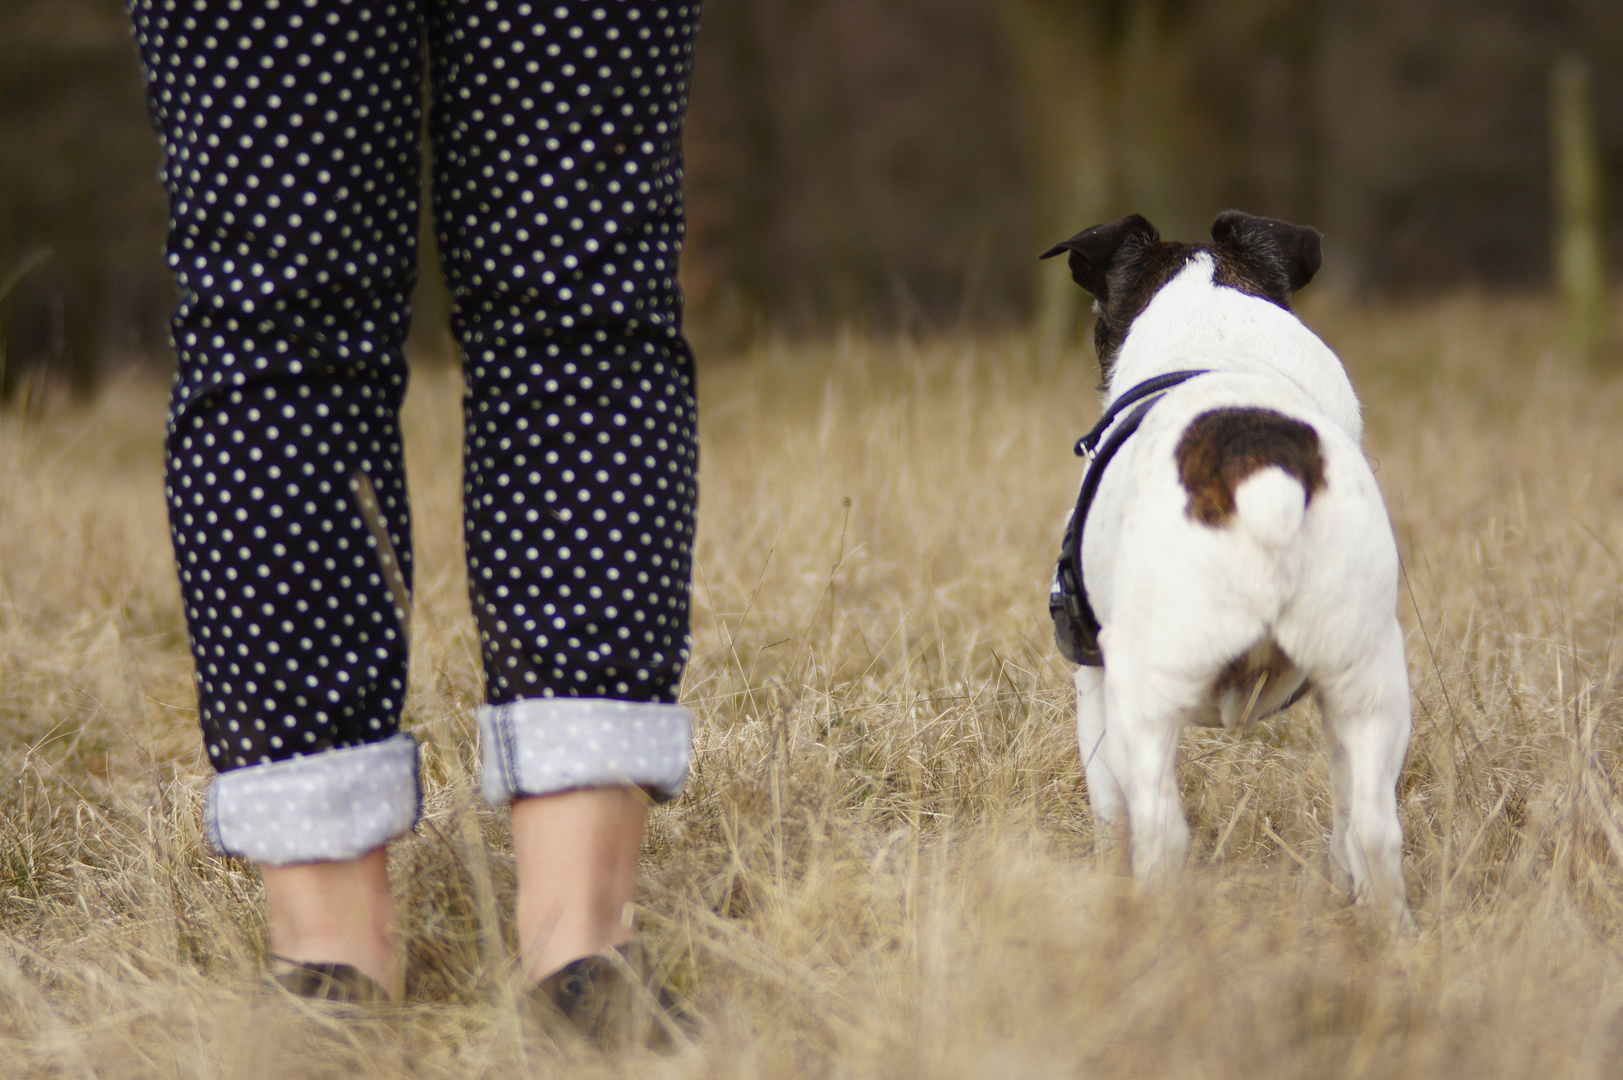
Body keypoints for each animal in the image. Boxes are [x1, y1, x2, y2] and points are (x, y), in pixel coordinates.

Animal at [1051, 211, 1408, 915]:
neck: (1215, 334)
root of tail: (1265, 480)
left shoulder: (1094, 685)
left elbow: (1110, 819)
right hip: (1369, 683)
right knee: (1374, 831)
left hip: (1144, 692)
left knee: (1161, 832)